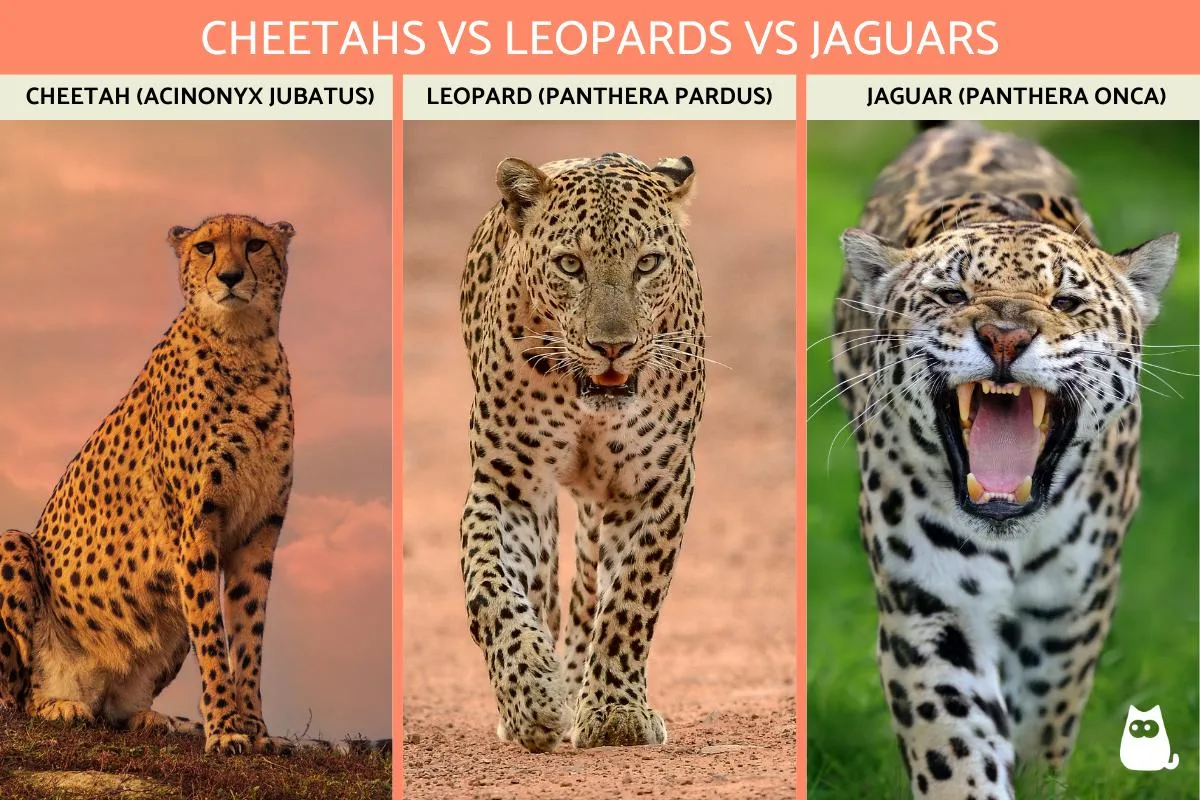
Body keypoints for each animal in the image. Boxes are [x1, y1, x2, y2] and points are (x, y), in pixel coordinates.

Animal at [458, 151, 705, 754]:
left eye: (647, 264)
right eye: (570, 265)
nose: (612, 346)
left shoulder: (656, 485)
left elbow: (630, 599)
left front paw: (616, 712)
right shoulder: (510, 488)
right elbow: (491, 589)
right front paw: (532, 698)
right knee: (545, 588)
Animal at [831, 120, 1179, 798]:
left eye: (1067, 301)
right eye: (950, 294)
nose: (1005, 337)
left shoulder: (1069, 611)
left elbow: (1044, 724)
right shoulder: (932, 608)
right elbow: (956, 746)